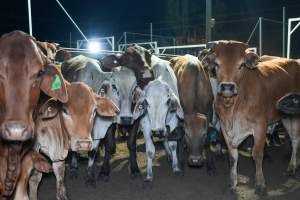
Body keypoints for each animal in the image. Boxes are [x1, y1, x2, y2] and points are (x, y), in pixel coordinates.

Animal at [207, 41, 300, 194]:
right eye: (217, 64)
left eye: (241, 65)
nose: (227, 87)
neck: (233, 106)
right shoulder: (225, 127)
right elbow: (233, 157)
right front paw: (233, 183)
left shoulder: (260, 126)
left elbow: (257, 154)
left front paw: (260, 183)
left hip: (294, 116)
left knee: (295, 140)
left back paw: (292, 167)